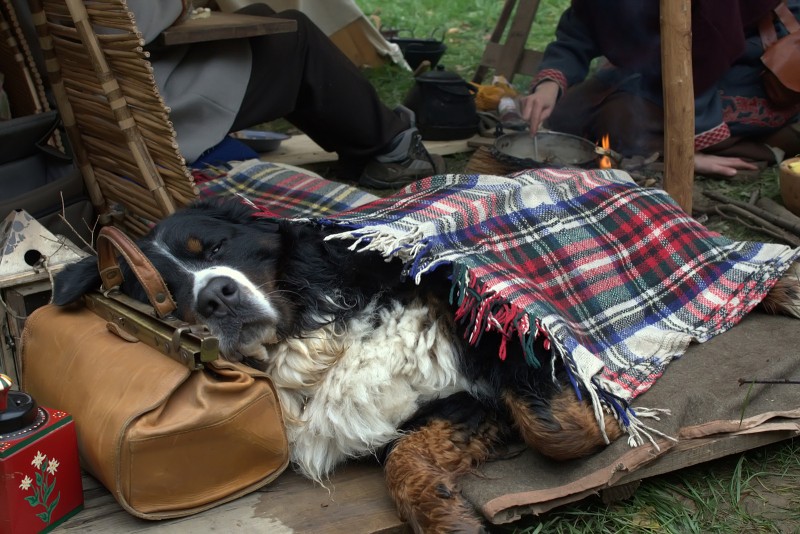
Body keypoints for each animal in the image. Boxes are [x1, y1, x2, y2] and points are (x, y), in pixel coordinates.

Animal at [53, 199, 796, 532]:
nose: (214, 296)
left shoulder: (486, 313)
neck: (317, 334)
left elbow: (553, 423)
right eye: (162, 293)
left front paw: (607, 411)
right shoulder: (441, 405)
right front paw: (443, 512)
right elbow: (408, 458)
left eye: (213, 247)